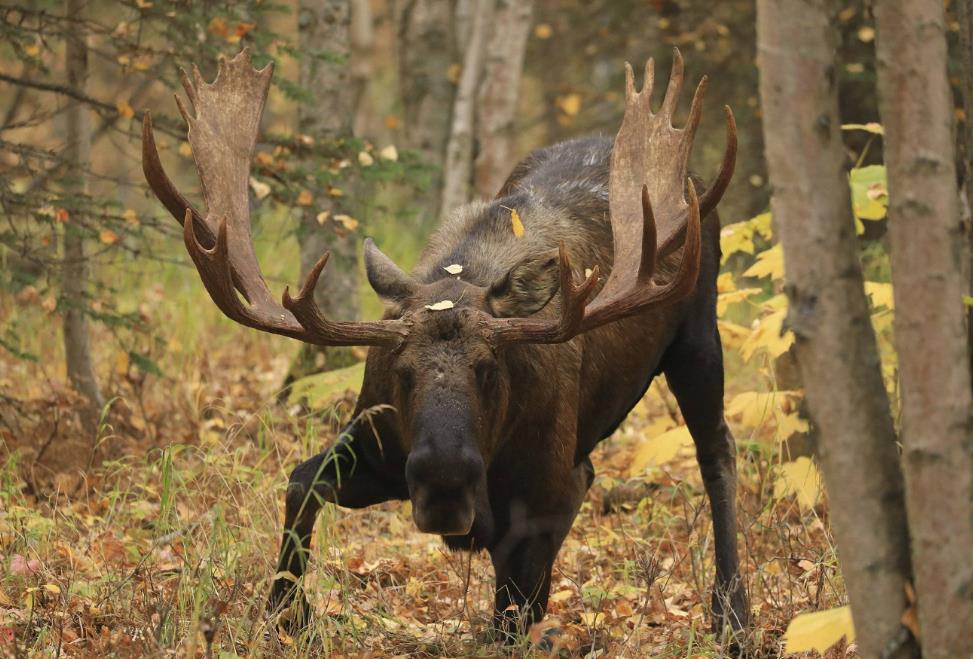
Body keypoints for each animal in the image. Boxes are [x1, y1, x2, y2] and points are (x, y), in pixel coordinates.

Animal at [140, 47, 748, 640]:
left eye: (489, 368)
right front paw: (289, 615)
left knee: (716, 451)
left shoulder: (550, 495)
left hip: (698, 336)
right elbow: (299, 483)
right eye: (401, 372)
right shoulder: (378, 448)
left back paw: (732, 614)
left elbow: (511, 618)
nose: (444, 482)